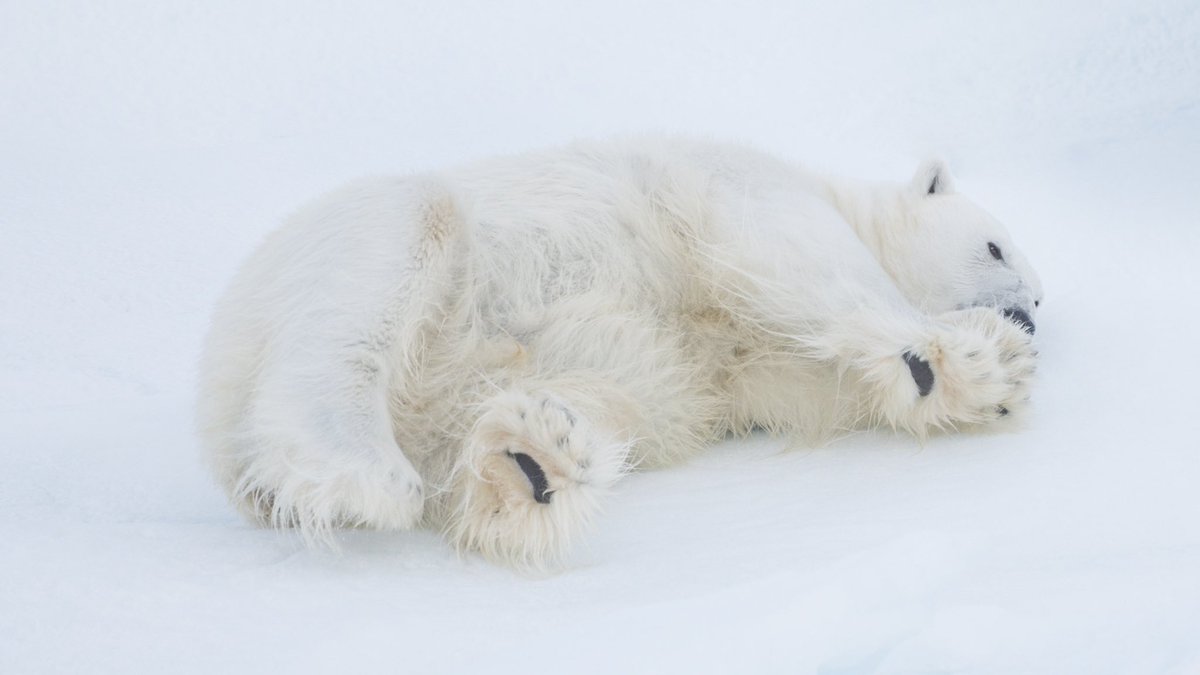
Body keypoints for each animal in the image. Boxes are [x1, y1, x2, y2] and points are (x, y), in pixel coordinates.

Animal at [196, 136, 1042, 567]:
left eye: (1041, 300)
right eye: (997, 247)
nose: (1028, 318)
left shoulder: (738, 361)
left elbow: (792, 379)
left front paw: (966, 378)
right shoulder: (743, 180)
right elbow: (797, 255)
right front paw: (973, 356)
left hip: (484, 380)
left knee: (550, 409)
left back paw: (532, 461)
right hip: (350, 248)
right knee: (377, 276)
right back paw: (360, 466)